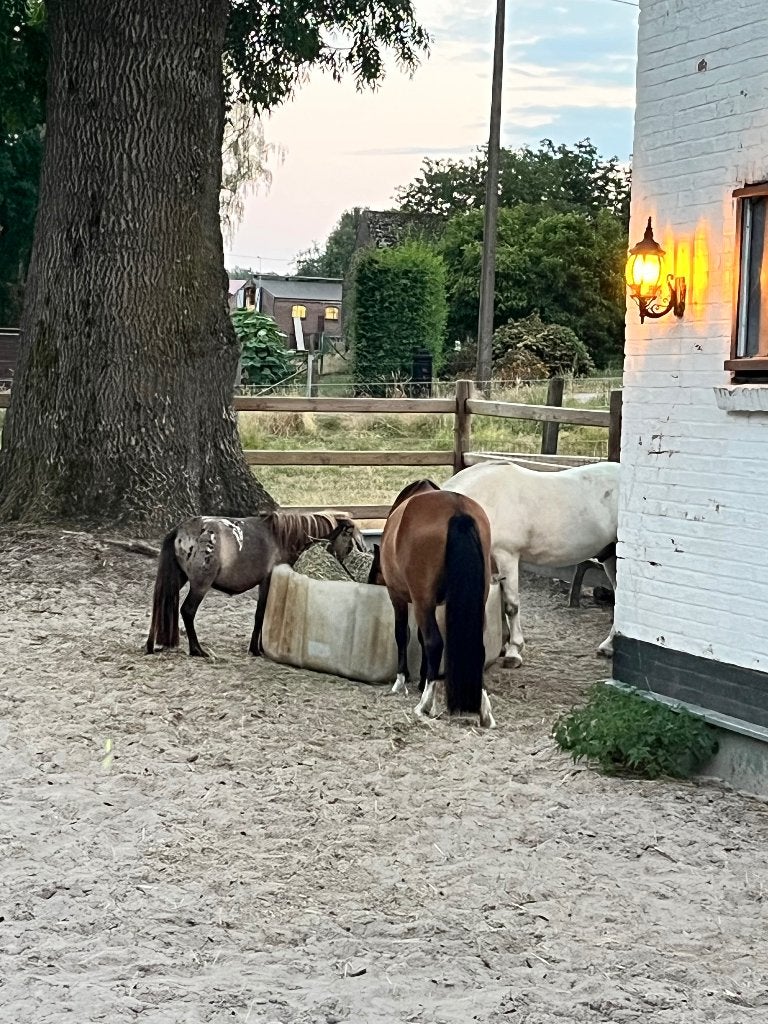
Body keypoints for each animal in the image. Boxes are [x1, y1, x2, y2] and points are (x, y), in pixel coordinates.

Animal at [145, 511, 365, 658]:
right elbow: (261, 614)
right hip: (201, 584)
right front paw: (255, 648)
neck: (281, 537)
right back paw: (197, 649)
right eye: (352, 542)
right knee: (187, 611)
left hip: (178, 579)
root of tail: (181, 530)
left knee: (162, 605)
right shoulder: (267, 581)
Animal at [368, 478, 496, 729]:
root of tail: (457, 511)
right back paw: (484, 709)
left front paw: (403, 681)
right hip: (476, 600)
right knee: (479, 647)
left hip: (421, 601)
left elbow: (403, 634)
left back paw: (425, 704)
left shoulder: (400, 597)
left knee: (434, 642)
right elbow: (419, 637)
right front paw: (423, 680)